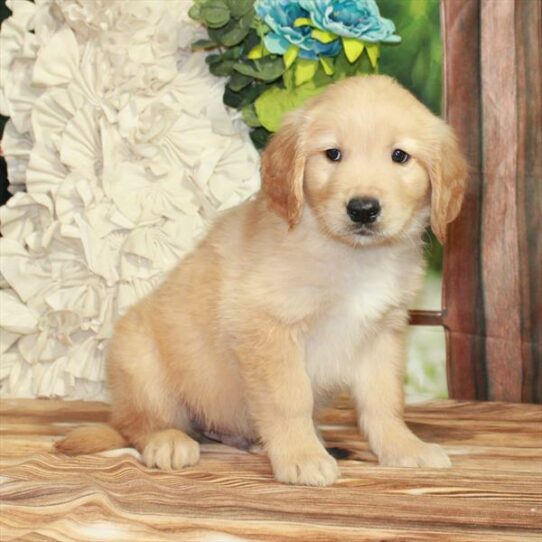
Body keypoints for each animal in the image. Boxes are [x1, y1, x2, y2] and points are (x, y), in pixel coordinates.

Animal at [57, 75, 470, 488]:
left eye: (400, 156)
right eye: (332, 154)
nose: (363, 209)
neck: (351, 255)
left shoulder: (381, 333)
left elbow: (384, 402)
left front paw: (403, 447)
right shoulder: (268, 328)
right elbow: (290, 400)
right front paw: (302, 456)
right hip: (141, 363)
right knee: (138, 424)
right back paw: (168, 441)